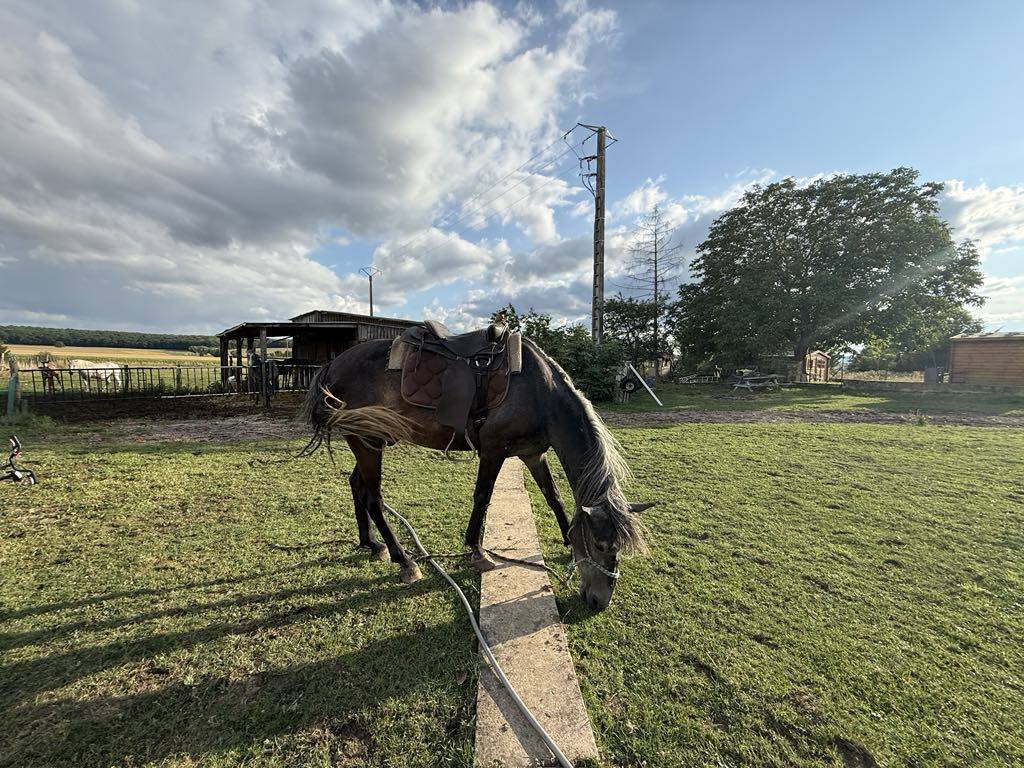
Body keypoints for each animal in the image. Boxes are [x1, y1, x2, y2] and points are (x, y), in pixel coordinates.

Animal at [300, 333, 654, 611]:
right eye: (601, 546)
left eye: (618, 548)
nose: (600, 602)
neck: (538, 392)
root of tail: (333, 365)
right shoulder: (494, 450)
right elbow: (482, 496)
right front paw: (477, 550)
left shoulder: (532, 454)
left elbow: (553, 498)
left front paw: (567, 538)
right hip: (367, 441)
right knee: (374, 497)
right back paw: (405, 561)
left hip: (368, 442)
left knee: (356, 485)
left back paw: (371, 544)